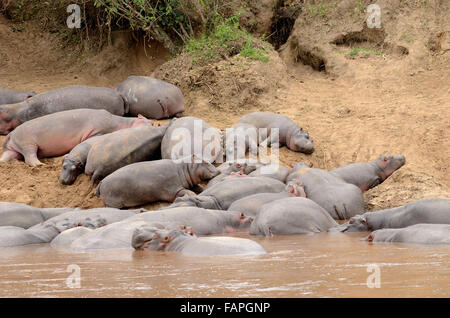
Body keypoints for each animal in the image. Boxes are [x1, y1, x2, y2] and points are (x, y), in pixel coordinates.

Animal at [0, 108, 153, 165]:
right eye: (150, 122)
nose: (155, 126)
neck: (124, 123)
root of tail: (12, 133)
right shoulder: (97, 130)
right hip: (27, 143)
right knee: (30, 157)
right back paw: (40, 165)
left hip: (15, 148)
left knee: (8, 156)